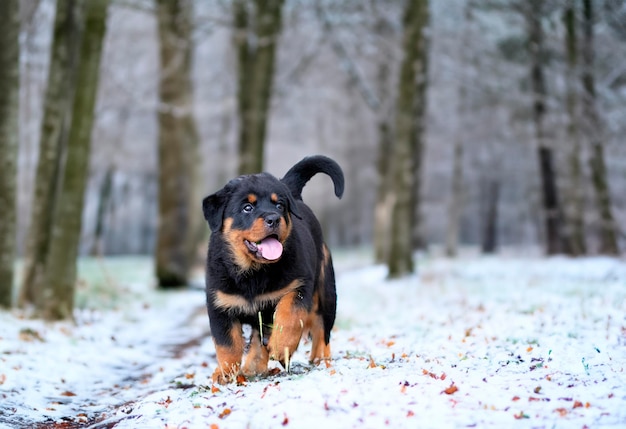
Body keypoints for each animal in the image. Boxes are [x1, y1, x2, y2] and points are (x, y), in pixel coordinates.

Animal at [202, 155, 344, 382]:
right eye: (247, 208)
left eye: (279, 205)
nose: (274, 218)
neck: (253, 272)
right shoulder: (219, 304)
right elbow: (227, 344)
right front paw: (225, 373)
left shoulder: (298, 285)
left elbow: (290, 316)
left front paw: (282, 346)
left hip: (326, 291)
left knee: (322, 330)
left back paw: (321, 359)